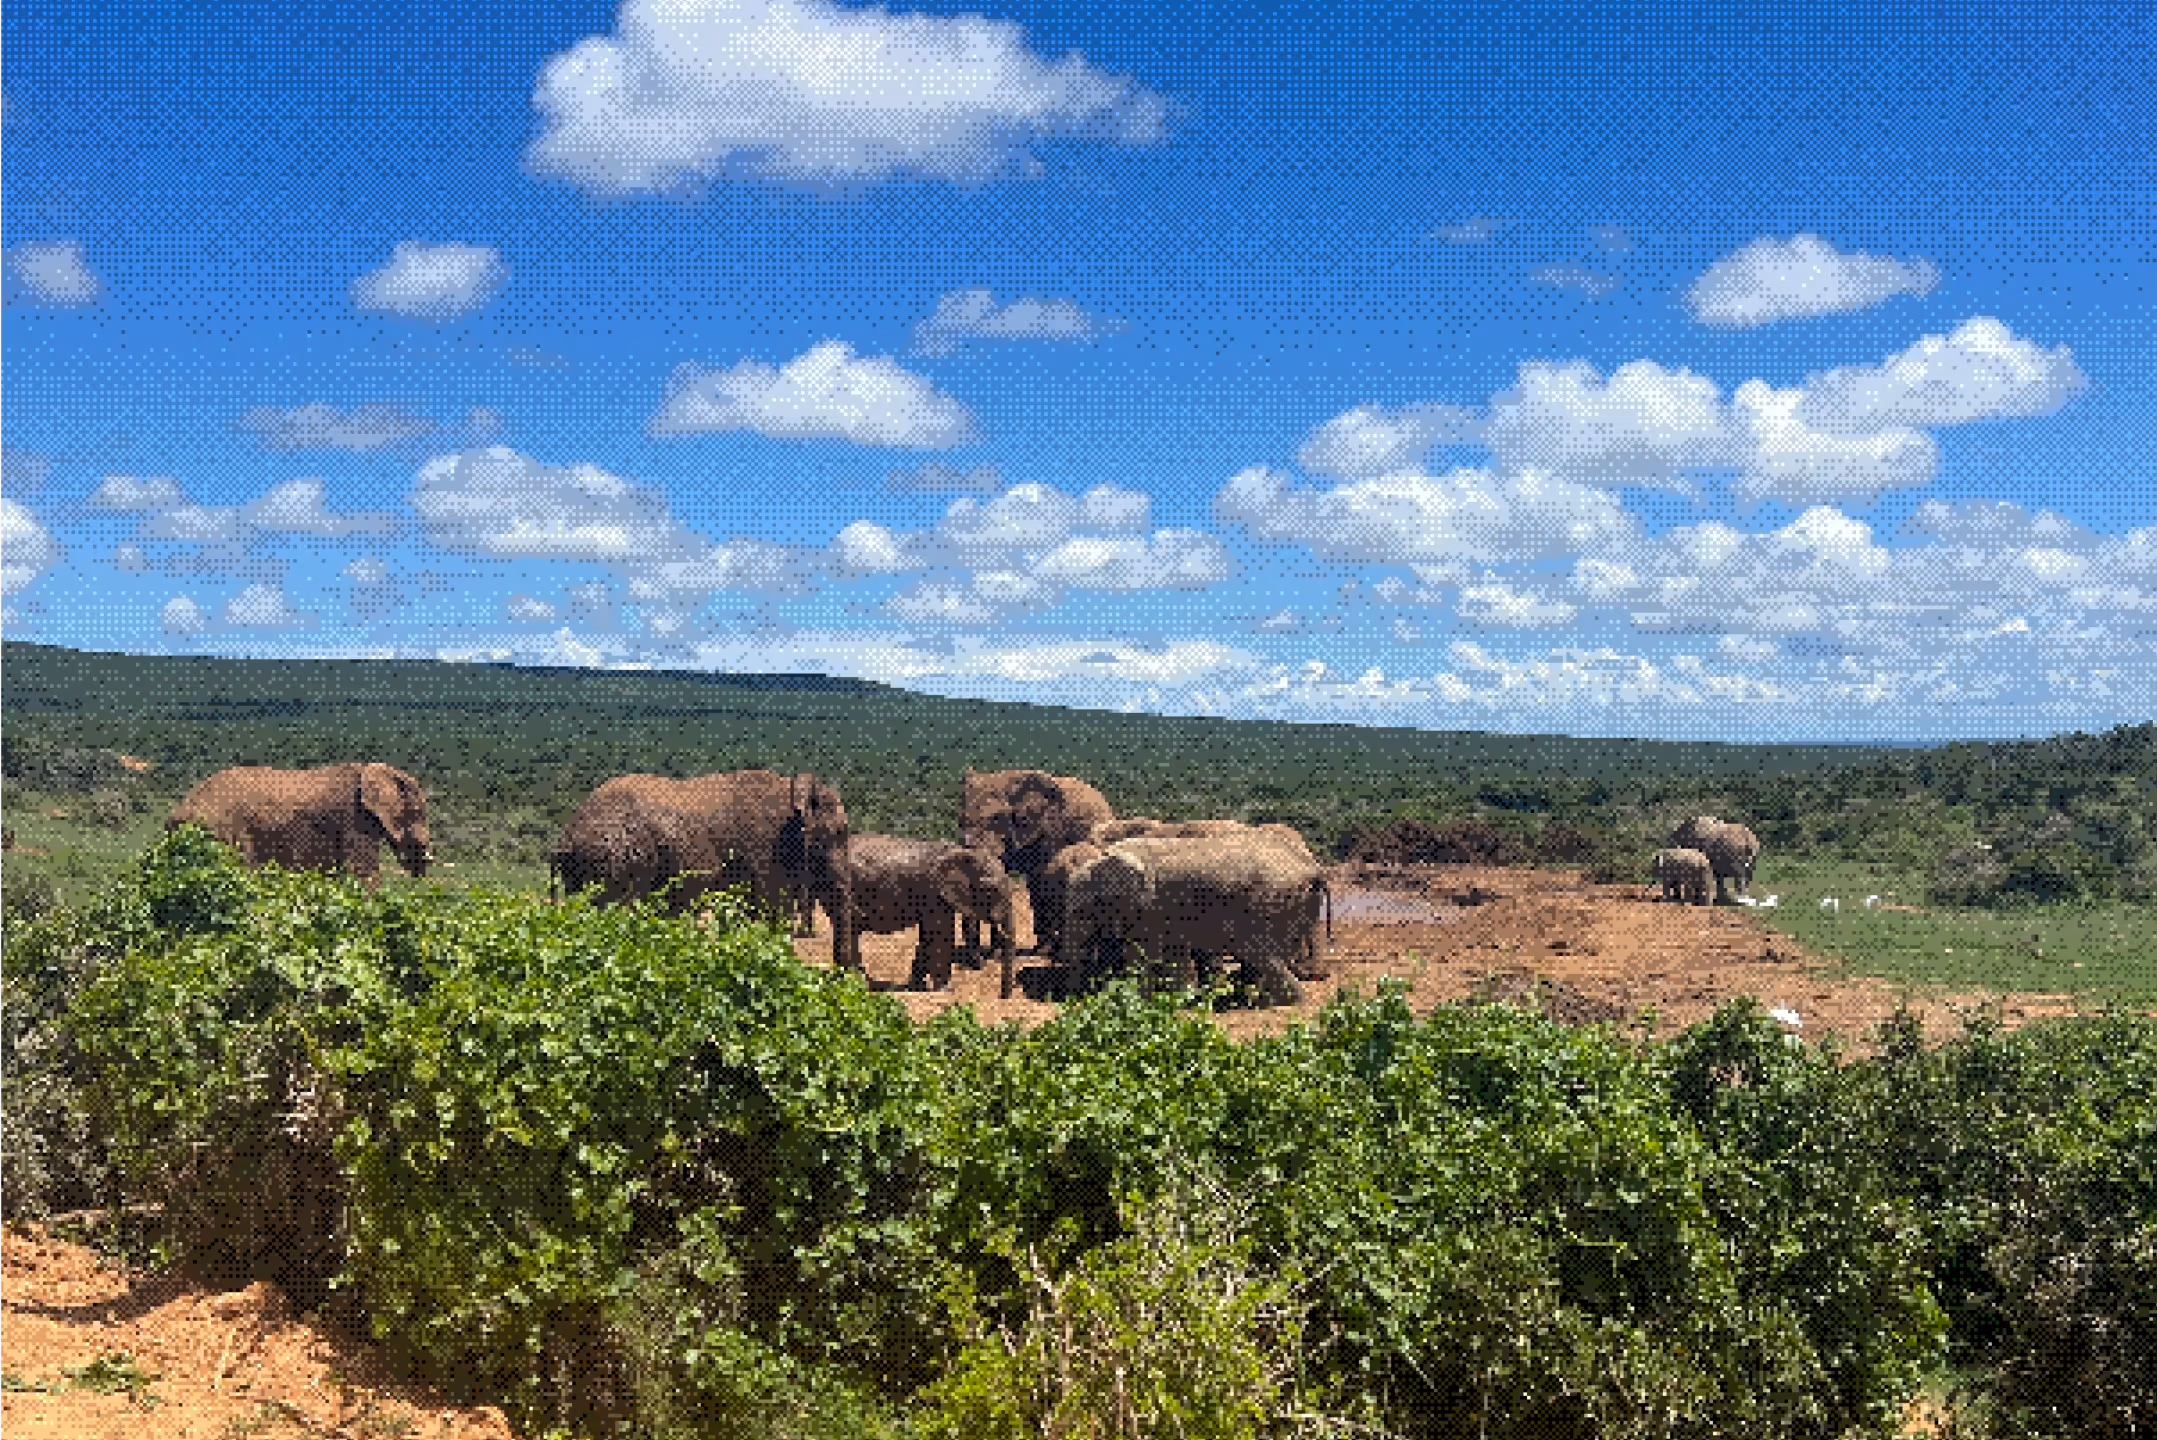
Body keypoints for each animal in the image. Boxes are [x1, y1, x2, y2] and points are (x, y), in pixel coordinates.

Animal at [548, 770, 854, 968]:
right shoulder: (766, 851)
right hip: (619, 857)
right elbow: (771, 912)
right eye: (840, 832)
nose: (843, 972)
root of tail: (565, 838)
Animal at [845, 836, 1021, 996]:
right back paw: (858, 982)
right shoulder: (933, 892)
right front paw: (944, 990)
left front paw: (917, 987)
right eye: (989, 890)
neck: (961, 852)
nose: (1003, 997)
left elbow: (928, 936)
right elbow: (940, 935)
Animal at [958, 768, 1115, 959]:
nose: (978, 958)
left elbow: (1039, 882)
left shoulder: (1048, 832)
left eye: (996, 819)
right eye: (960, 821)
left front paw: (1040, 952)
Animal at [1061, 833, 1330, 1007]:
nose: (1075, 998)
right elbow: (1173, 951)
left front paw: (1138, 1002)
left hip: (1270, 901)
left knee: (1259, 952)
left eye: (1082, 911)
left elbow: (1144, 952)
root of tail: (1314, 868)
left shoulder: (1148, 904)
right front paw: (1180, 999)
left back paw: (1281, 1004)